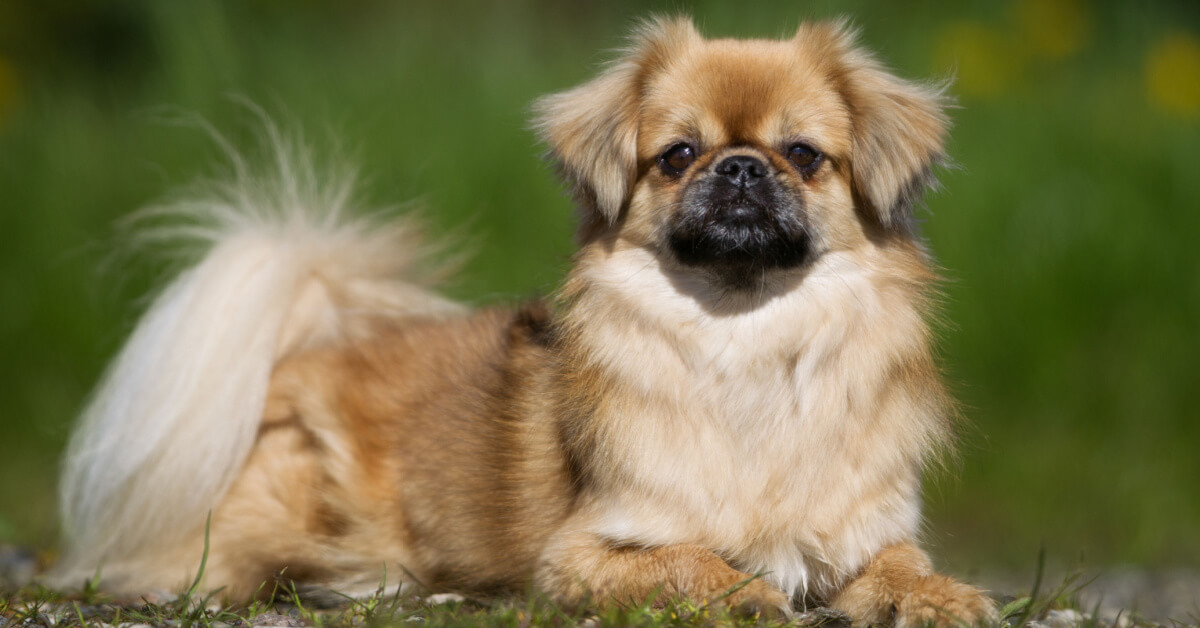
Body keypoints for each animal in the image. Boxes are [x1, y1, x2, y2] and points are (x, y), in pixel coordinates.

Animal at [49, 17, 993, 624]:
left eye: (802, 155)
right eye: (677, 156)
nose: (739, 169)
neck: (745, 334)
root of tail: (305, 351)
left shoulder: (867, 532)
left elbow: (903, 566)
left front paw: (942, 597)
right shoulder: (583, 553)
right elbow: (687, 560)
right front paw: (745, 591)